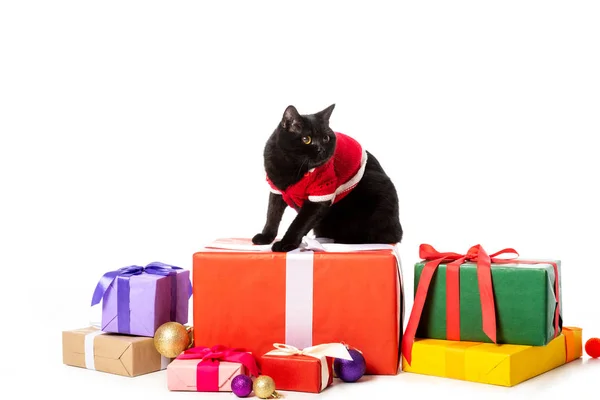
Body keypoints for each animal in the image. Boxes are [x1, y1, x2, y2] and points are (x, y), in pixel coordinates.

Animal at [251, 104, 400, 252]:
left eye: (326, 138)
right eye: (306, 139)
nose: (321, 149)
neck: (292, 166)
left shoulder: (320, 196)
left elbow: (299, 223)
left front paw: (286, 243)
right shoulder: (276, 190)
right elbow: (272, 215)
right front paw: (266, 236)